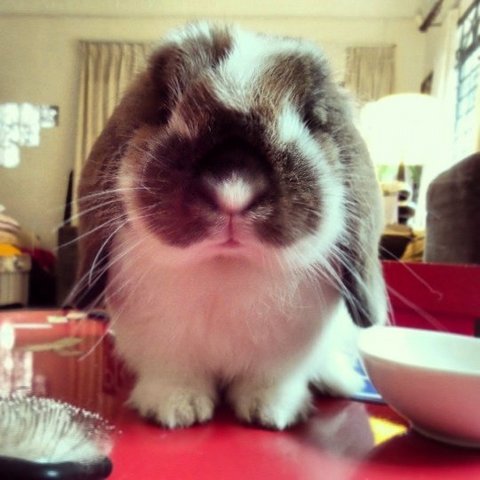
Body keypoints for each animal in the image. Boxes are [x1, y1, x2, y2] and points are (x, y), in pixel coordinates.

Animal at [70, 22, 386, 430]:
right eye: (164, 109)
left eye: (311, 118)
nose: (233, 190)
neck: (225, 268)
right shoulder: (164, 353)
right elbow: (174, 377)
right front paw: (177, 410)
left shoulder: (282, 360)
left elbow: (270, 383)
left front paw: (270, 414)